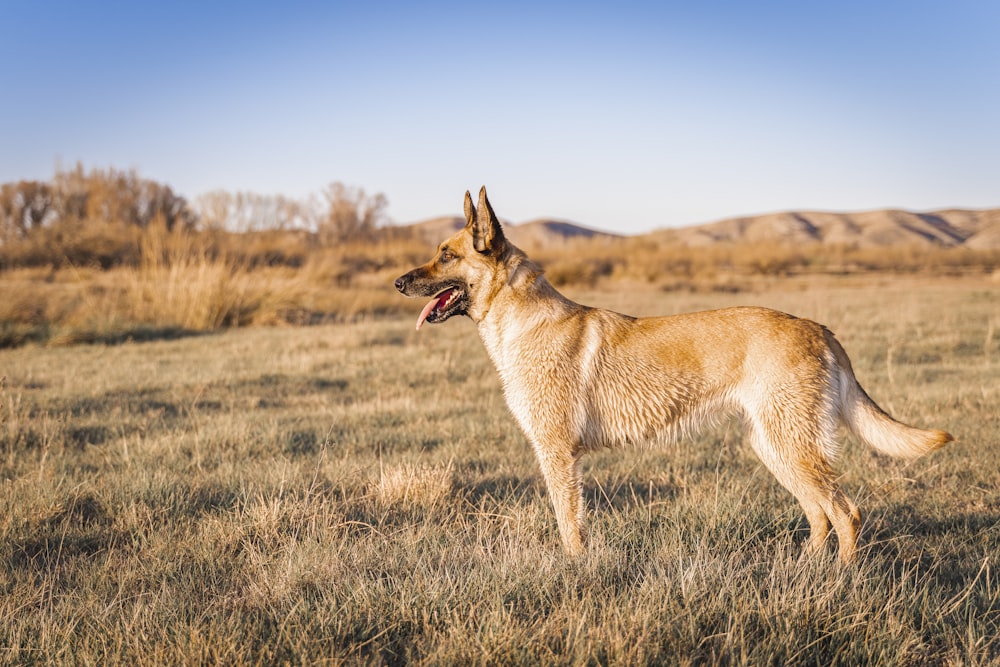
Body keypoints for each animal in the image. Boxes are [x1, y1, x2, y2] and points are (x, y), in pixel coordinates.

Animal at [392, 188, 952, 564]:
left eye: (446, 255)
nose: (397, 282)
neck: (518, 320)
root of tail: (819, 328)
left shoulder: (558, 455)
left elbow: (569, 525)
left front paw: (574, 571)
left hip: (792, 445)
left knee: (845, 512)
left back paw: (840, 579)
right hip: (776, 446)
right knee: (819, 514)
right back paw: (807, 572)